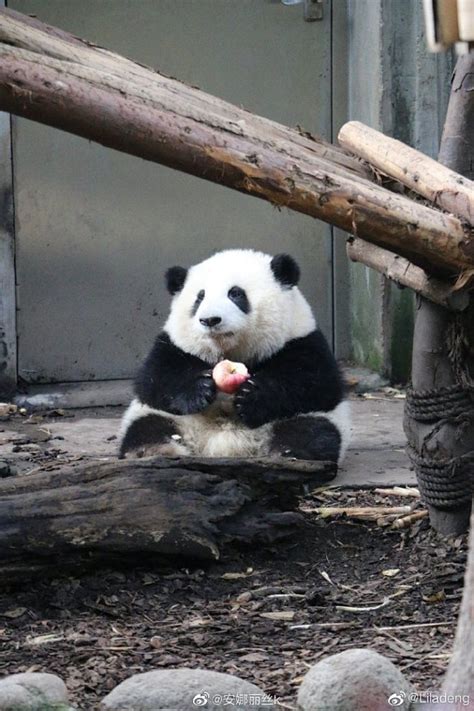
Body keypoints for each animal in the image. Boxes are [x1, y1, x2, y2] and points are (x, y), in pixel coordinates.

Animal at [119, 252, 348, 468]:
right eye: (200, 297)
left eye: (236, 293)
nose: (210, 320)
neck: (230, 352)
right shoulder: (173, 344)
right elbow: (154, 379)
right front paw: (200, 389)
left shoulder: (301, 340)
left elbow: (316, 384)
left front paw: (251, 396)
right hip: (168, 419)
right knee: (147, 428)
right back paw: (150, 451)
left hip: (302, 419)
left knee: (311, 431)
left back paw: (292, 455)